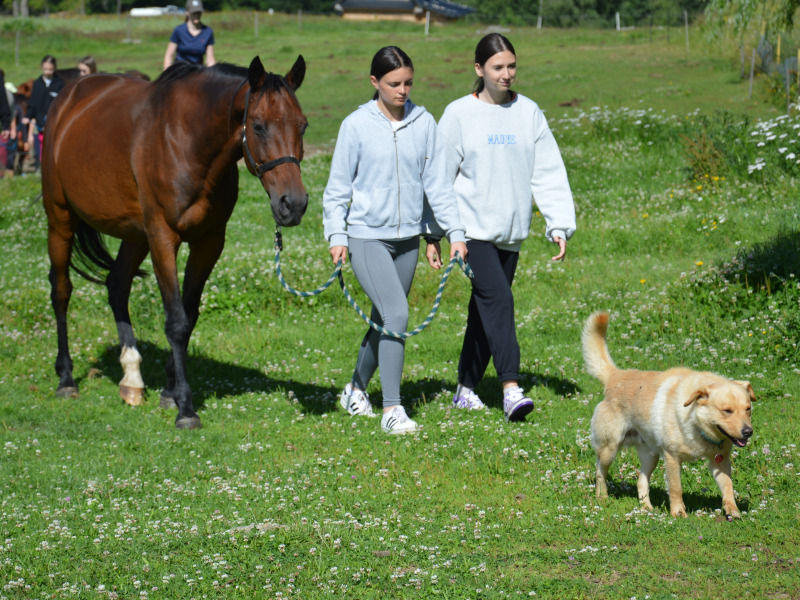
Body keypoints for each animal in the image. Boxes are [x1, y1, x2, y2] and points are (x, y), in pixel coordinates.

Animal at [40, 56, 310, 428]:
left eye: (303, 126)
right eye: (257, 126)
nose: (293, 204)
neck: (189, 142)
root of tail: (66, 100)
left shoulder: (209, 242)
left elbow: (190, 315)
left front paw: (169, 392)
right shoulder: (163, 238)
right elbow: (177, 321)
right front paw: (186, 408)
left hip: (134, 234)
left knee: (117, 284)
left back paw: (132, 379)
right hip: (61, 219)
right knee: (61, 291)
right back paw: (66, 379)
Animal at [580, 312, 756, 516]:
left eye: (748, 409)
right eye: (726, 411)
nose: (748, 432)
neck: (697, 425)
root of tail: (615, 376)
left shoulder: (720, 460)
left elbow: (728, 486)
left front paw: (733, 511)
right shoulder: (672, 457)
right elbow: (676, 488)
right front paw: (679, 514)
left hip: (650, 455)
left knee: (641, 481)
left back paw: (647, 508)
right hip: (609, 448)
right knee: (600, 470)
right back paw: (602, 497)